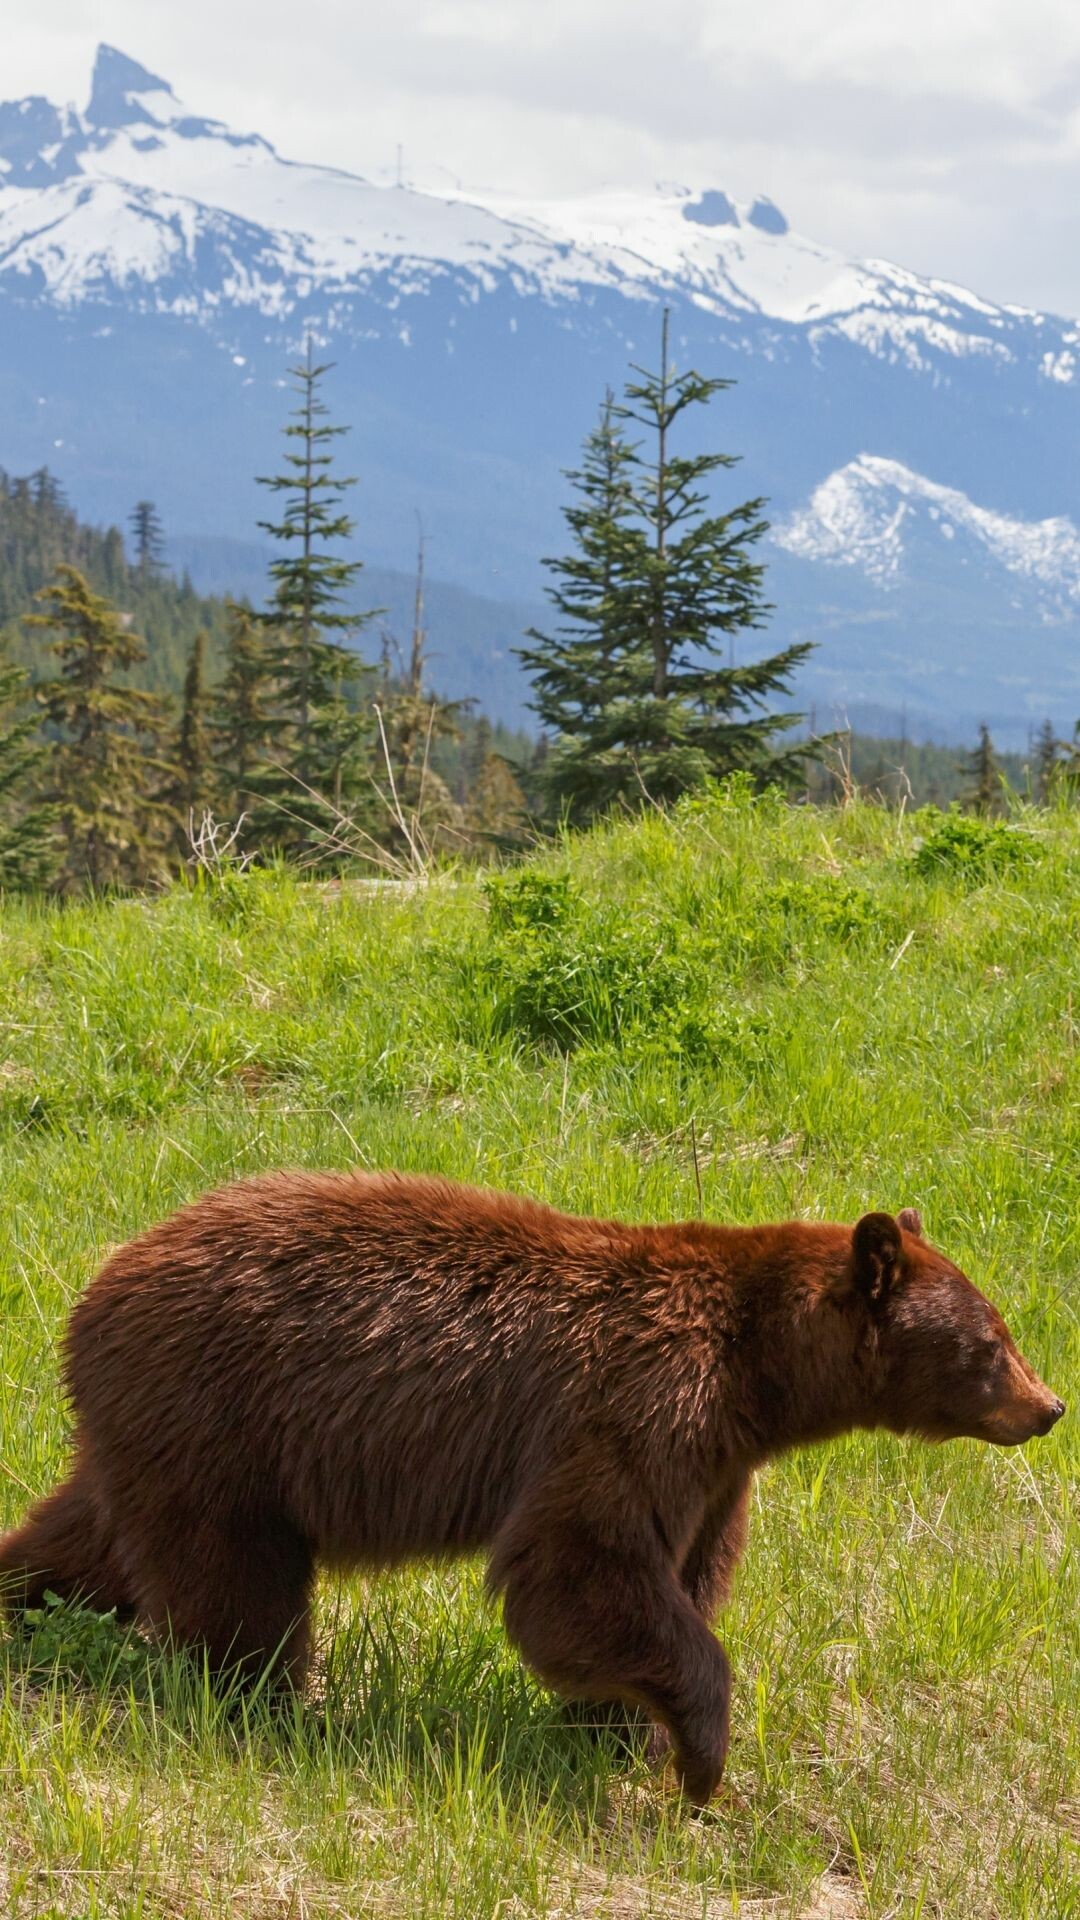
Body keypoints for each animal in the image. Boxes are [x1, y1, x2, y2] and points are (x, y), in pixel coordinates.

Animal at [0, 1167, 1060, 1797]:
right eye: (991, 1342)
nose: (1048, 1406)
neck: (758, 1374)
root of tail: (99, 1286)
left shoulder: (718, 1466)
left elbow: (683, 1575)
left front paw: (619, 1733)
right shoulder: (640, 1401)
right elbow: (580, 1563)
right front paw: (698, 1756)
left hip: (153, 1434)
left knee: (86, 1541)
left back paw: (25, 1618)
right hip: (222, 1423)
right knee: (234, 1591)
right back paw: (271, 1712)